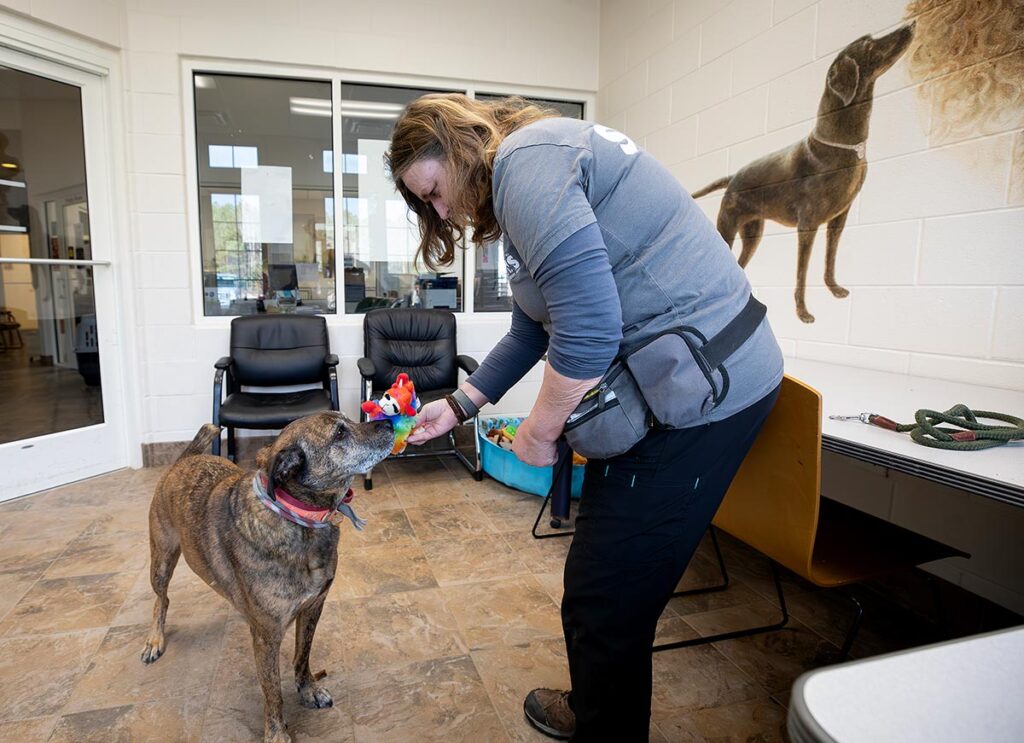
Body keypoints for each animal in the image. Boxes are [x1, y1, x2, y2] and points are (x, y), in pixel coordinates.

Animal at [146, 415, 393, 740]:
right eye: (340, 433)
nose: (389, 422)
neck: (299, 520)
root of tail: (184, 459)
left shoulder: (313, 608)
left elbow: (303, 656)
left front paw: (308, 690)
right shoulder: (267, 635)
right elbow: (272, 690)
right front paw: (276, 733)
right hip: (161, 562)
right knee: (161, 600)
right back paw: (154, 640)